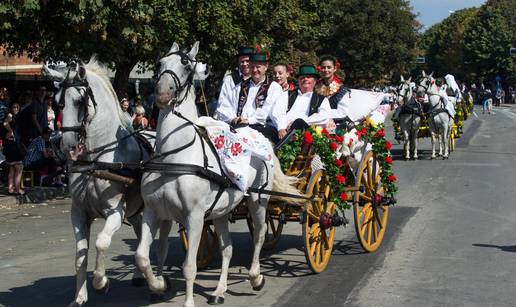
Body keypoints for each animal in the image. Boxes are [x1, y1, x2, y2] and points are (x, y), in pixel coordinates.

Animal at [43, 62, 151, 307]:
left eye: (79, 101)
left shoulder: (115, 211)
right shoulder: (79, 212)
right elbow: (80, 255)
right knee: (140, 233)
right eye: (57, 102)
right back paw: (139, 276)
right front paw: (80, 297)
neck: (97, 159)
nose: (67, 145)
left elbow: (101, 242)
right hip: (135, 210)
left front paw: (101, 283)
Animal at [135, 42, 300, 307]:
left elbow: (189, 267)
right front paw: (159, 284)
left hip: (259, 200)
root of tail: (262, 140)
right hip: (222, 211)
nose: (161, 96)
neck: (173, 156)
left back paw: (255, 277)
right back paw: (219, 290)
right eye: (160, 63)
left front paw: (188, 302)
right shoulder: (153, 211)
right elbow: (142, 256)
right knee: (227, 248)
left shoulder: (194, 217)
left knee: (260, 234)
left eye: (186, 66)